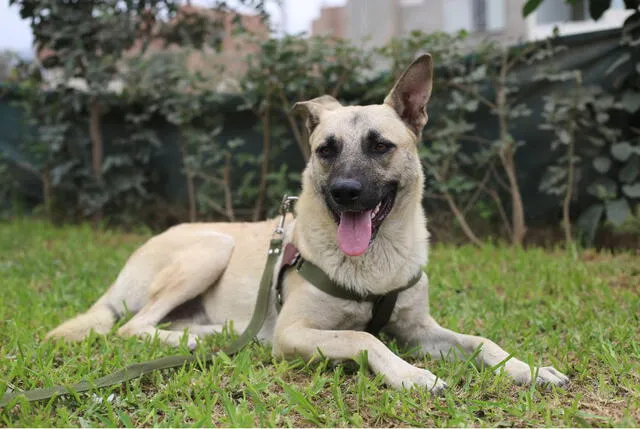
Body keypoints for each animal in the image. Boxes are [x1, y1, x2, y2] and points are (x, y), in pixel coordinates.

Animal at [48, 54, 568, 392]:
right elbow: (362, 336)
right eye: (326, 150)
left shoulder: (420, 329)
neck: (374, 263)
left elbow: (482, 341)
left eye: (380, 146)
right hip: (212, 247)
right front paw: (411, 374)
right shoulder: (294, 333)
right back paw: (203, 338)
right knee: (133, 327)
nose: (345, 192)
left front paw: (527, 369)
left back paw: (211, 332)